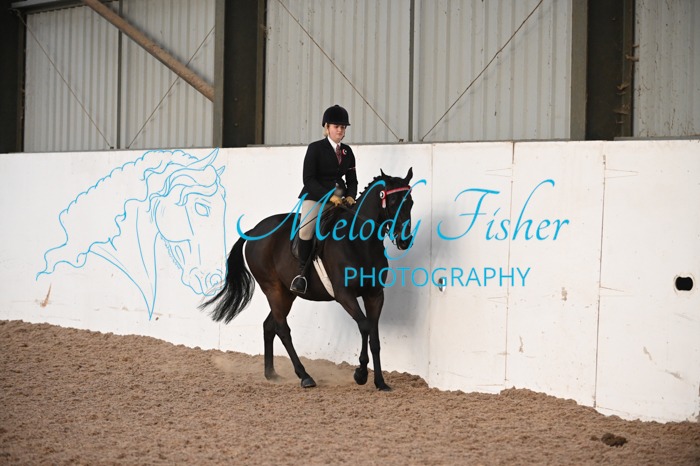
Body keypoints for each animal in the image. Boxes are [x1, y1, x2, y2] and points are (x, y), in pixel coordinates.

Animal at [201, 168, 416, 390]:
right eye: (393, 202)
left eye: (410, 202)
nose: (404, 240)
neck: (360, 242)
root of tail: (255, 230)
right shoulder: (344, 295)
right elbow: (365, 326)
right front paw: (360, 374)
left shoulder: (375, 295)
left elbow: (374, 336)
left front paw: (380, 382)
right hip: (272, 288)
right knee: (282, 329)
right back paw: (304, 376)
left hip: (287, 293)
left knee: (269, 326)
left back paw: (271, 374)